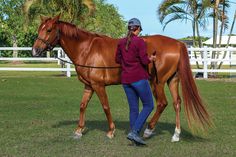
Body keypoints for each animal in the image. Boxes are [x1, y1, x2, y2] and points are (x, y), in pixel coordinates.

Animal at [32, 15, 211, 142]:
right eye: (40, 28)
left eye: (49, 30)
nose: (35, 51)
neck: (87, 49)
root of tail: (177, 44)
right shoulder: (89, 86)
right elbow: (82, 106)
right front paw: (78, 130)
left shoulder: (98, 85)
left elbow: (105, 107)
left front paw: (111, 131)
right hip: (172, 80)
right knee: (176, 103)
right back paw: (176, 134)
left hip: (157, 83)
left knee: (162, 103)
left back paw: (148, 130)